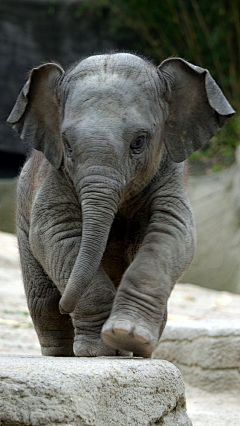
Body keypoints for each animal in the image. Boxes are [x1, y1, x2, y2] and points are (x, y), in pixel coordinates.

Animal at [7, 53, 234, 358]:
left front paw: (128, 336)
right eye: (67, 145)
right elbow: (56, 233)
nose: (66, 305)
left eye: (138, 142)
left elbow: (172, 232)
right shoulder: (54, 175)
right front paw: (98, 352)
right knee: (43, 300)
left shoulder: (169, 174)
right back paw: (64, 353)